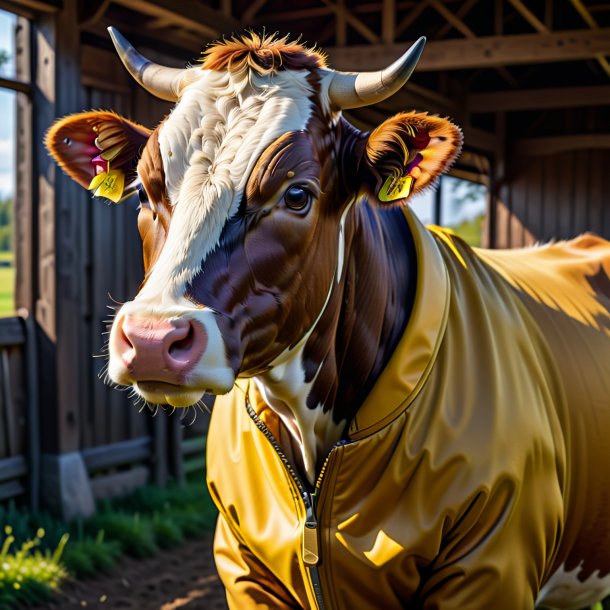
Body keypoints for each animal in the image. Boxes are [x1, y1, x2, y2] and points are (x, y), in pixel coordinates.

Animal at [46, 27, 608, 608]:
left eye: (297, 195)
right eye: (143, 191)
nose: (154, 338)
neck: (310, 425)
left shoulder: (490, 567)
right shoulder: (246, 567)